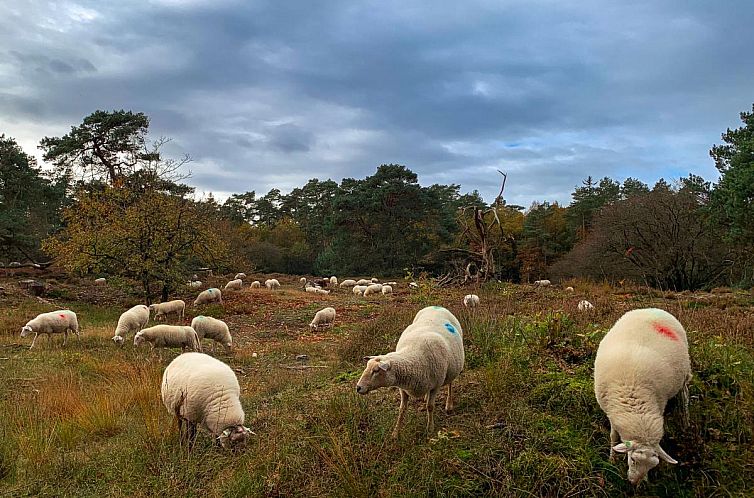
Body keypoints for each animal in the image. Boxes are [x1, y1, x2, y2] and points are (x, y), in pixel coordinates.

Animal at [354, 306, 464, 438]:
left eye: (376, 371)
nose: (358, 388)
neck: (413, 357)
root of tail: (436, 306)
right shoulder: (403, 388)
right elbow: (402, 409)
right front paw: (395, 433)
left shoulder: (436, 386)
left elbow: (430, 407)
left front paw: (430, 428)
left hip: (452, 367)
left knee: (450, 384)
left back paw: (449, 405)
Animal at [592, 308, 692, 486]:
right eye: (633, 460)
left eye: (651, 467)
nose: (634, 483)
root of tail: (653, 309)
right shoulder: (611, 411)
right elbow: (613, 437)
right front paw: (612, 458)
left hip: (684, 376)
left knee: (685, 398)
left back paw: (685, 421)